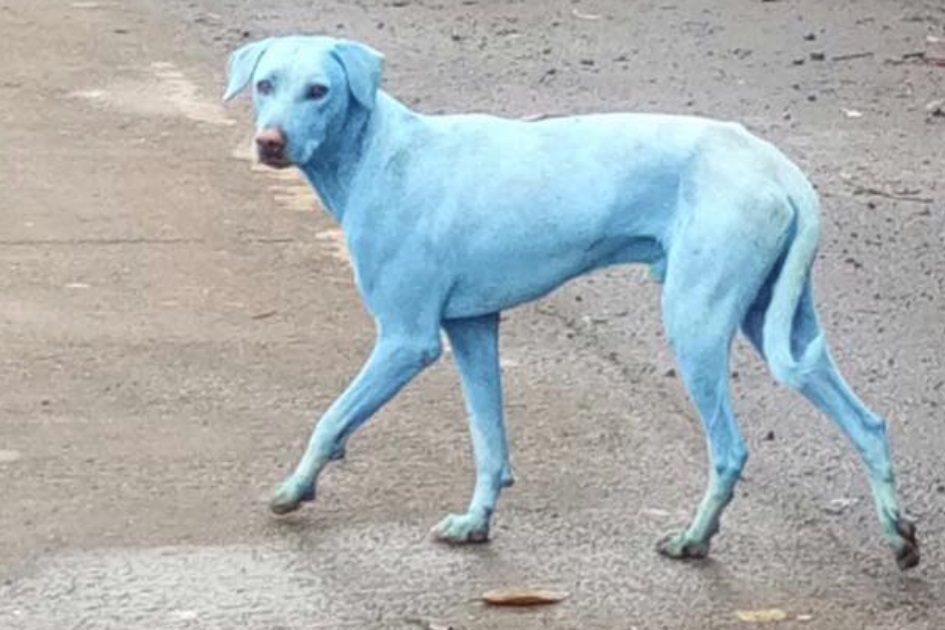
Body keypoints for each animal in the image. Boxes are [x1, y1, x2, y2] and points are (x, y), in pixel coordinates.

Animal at [221, 34, 916, 572]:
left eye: (319, 91)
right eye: (265, 85)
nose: (269, 143)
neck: (378, 152)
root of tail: (775, 164)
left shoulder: (405, 340)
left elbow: (331, 418)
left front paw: (294, 489)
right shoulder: (472, 329)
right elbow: (489, 443)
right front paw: (475, 522)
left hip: (695, 323)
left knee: (730, 450)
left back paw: (694, 540)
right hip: (778, 322)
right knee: (866, 422)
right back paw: (898, 535)